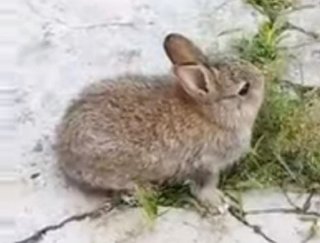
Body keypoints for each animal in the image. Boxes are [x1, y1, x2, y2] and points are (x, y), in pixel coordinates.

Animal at [55, 32, 264, 213]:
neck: (213, 115)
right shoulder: (205, 164)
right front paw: (218, 203)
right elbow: (204, 187)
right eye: (244, 89)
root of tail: (63, 149)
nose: (262, 78)